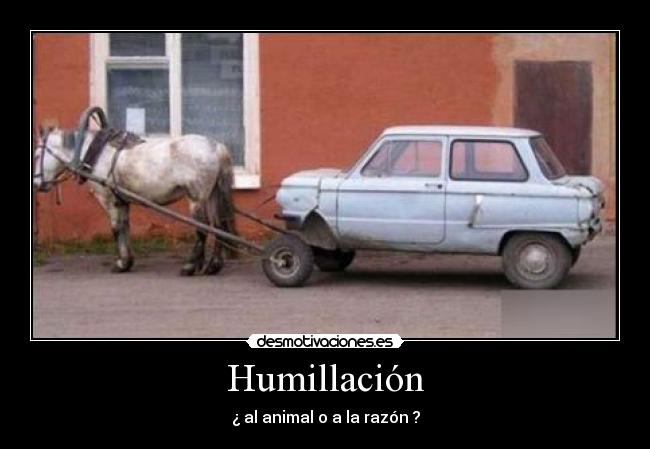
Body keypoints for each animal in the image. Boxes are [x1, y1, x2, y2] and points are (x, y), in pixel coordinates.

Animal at [33, 125, 237, 276]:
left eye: (36, 155)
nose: (36, 184)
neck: (98, 153)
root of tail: (216, 146)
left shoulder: (108, 199)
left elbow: (115, 228)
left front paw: (121, 263)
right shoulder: (121, 201)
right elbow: (125, 226)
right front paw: (127, 262)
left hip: (197, 198)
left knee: (203, 228)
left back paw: (190, 266)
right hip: (212, 195)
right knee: (219, 226)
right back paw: (213, 266)